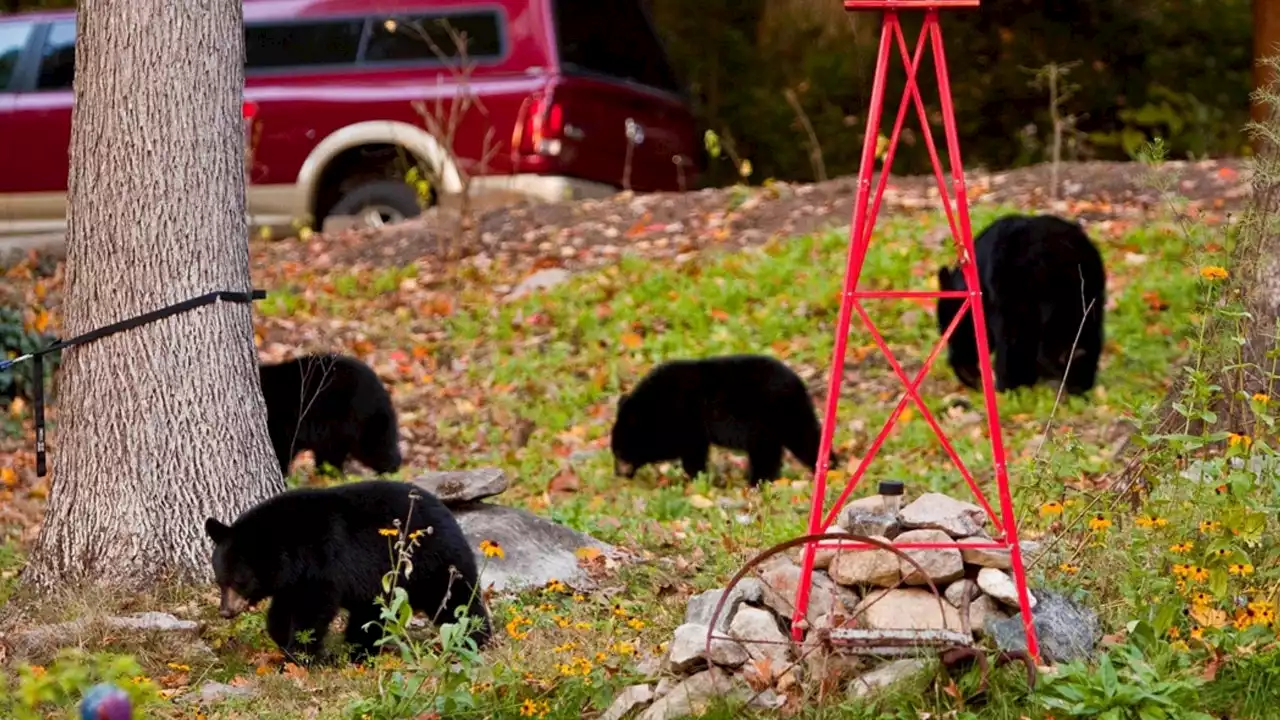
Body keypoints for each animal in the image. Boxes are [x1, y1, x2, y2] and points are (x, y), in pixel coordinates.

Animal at [204, 476, 488, 661]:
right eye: (220, 580)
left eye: (239, 581)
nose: (225, 611)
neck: (290, 546)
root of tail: (447, 511)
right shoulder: (292, 580)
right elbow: (283, 610)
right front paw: (284, 639)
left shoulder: (322, 562)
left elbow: (312, 609)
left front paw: (300, 654)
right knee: (370, 615)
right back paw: (358, 651)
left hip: (432, 562)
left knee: (457, 600)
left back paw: (473, 638)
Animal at [258, 353, 399, 476]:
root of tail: (383, 390)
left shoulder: (282, 418)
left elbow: (281, 447)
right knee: (331, 457)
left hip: (358, 419)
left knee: (377, 448)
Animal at [609, 351, 839, 481]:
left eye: (619, 452)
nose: (619, 473)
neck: (654, 407)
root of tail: (798, 384)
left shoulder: (686, 418)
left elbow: (692, 450)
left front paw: (693, 476)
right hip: (789, 416)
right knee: (806, 438)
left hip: (766, 417)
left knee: (768, 451)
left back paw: (757, 480)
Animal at [936, 210, 1105, 394]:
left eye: (945, 328)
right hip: (1084, 294)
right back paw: (1078, 379)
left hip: (1018, 293)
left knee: (1016, 342)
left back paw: (1009, 385)